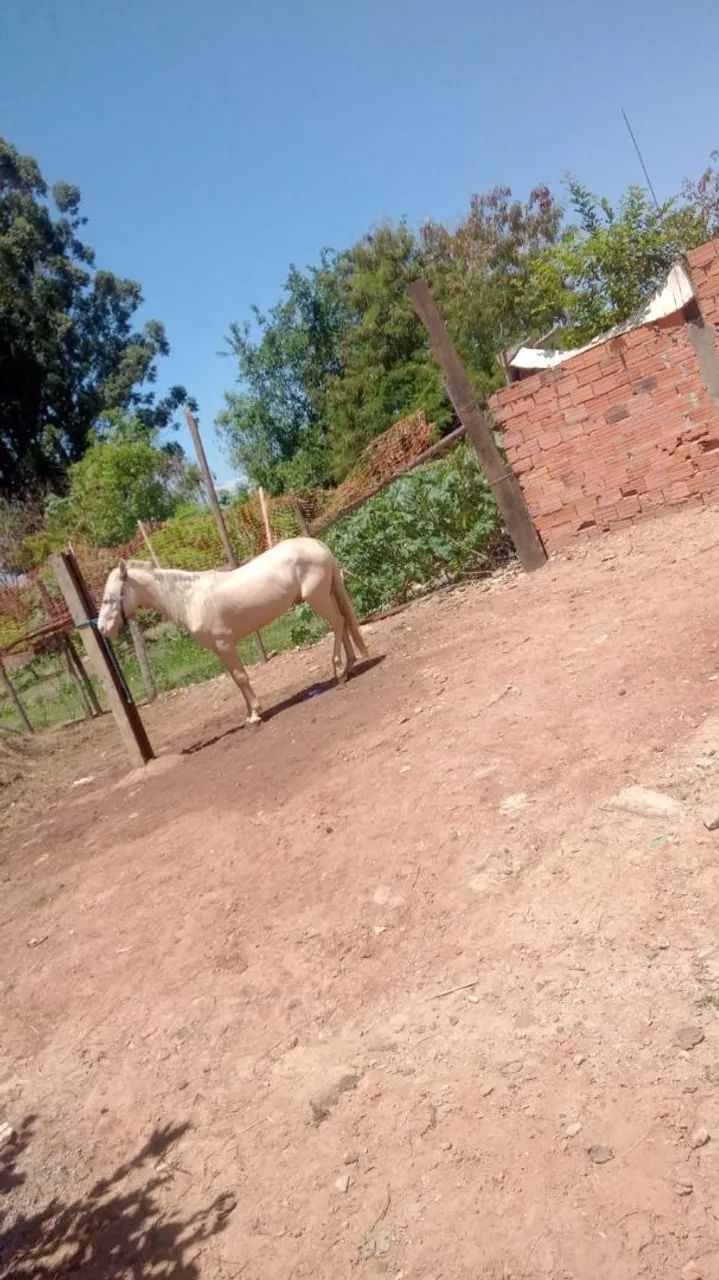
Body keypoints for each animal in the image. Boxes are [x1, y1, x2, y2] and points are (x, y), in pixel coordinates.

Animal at [97, 536, 368, 724]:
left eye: (109, 598)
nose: (102, 629)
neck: (191, 599)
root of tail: (317, 545)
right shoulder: (219, 650)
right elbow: (236, 681)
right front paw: (250, 713)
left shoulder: (225, 644)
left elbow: (241, 677)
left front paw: (256, 715)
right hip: (326, 596)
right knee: (343, 623)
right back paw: (348, 667)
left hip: (317, 599)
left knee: (338, 624)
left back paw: (339, 670)